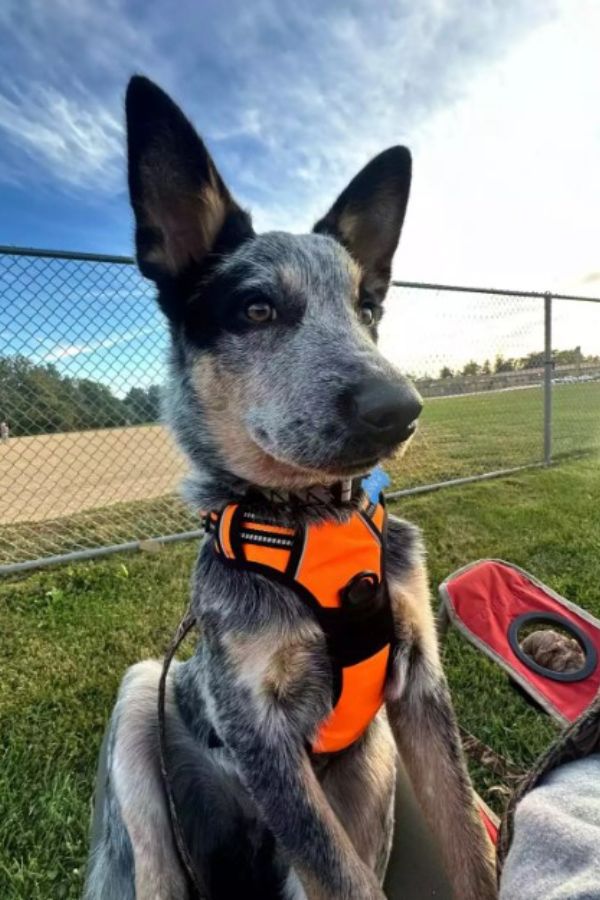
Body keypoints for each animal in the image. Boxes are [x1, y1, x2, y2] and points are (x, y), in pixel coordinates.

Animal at [84, 79, 496, 900]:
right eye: (256, 309)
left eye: (368, 308)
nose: (401, 409)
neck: (315, 522)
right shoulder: (259, 731)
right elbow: (344, 879)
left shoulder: (419, 682)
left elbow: (466, 838)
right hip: (142, 698)